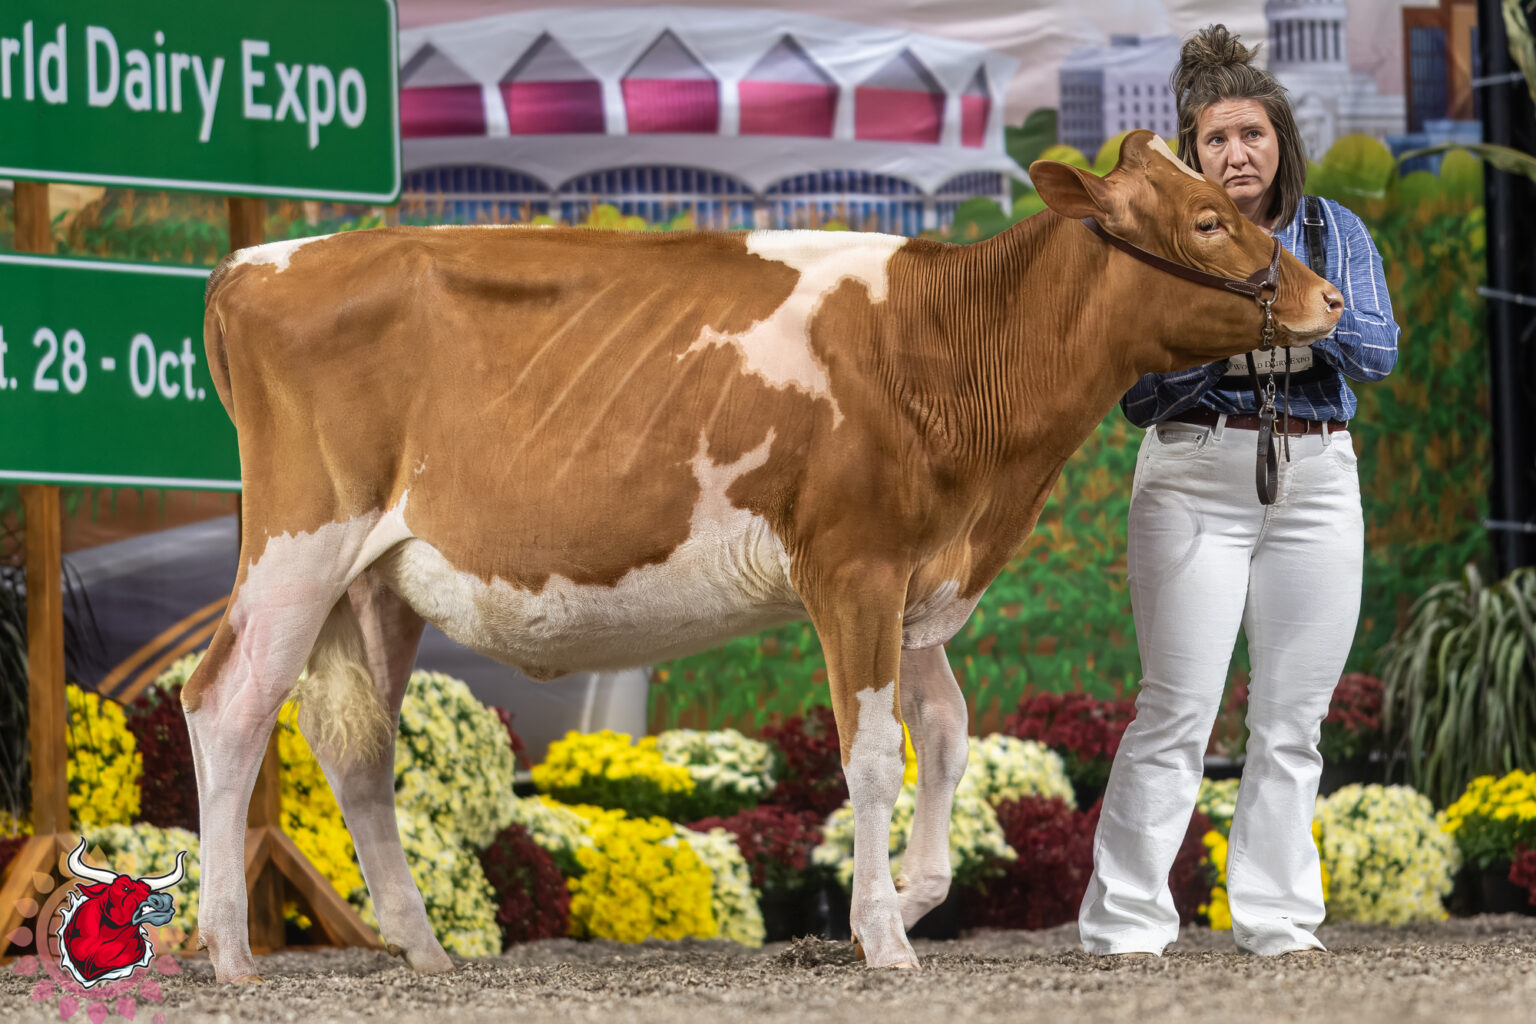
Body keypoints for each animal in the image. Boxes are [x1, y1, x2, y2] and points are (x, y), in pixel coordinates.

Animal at [185, 130, 1342, 982]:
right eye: (1207, 218)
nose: (1329, 299)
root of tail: (254, 262)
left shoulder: (919, 575)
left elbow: (947, 735)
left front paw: (908, 898)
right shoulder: (853, 566)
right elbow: (872, 754)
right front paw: (882, 937)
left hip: (375, 583)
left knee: (358, 748)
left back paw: (424, 950)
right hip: (299, 543)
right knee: (226, 702)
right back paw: (231, 951)